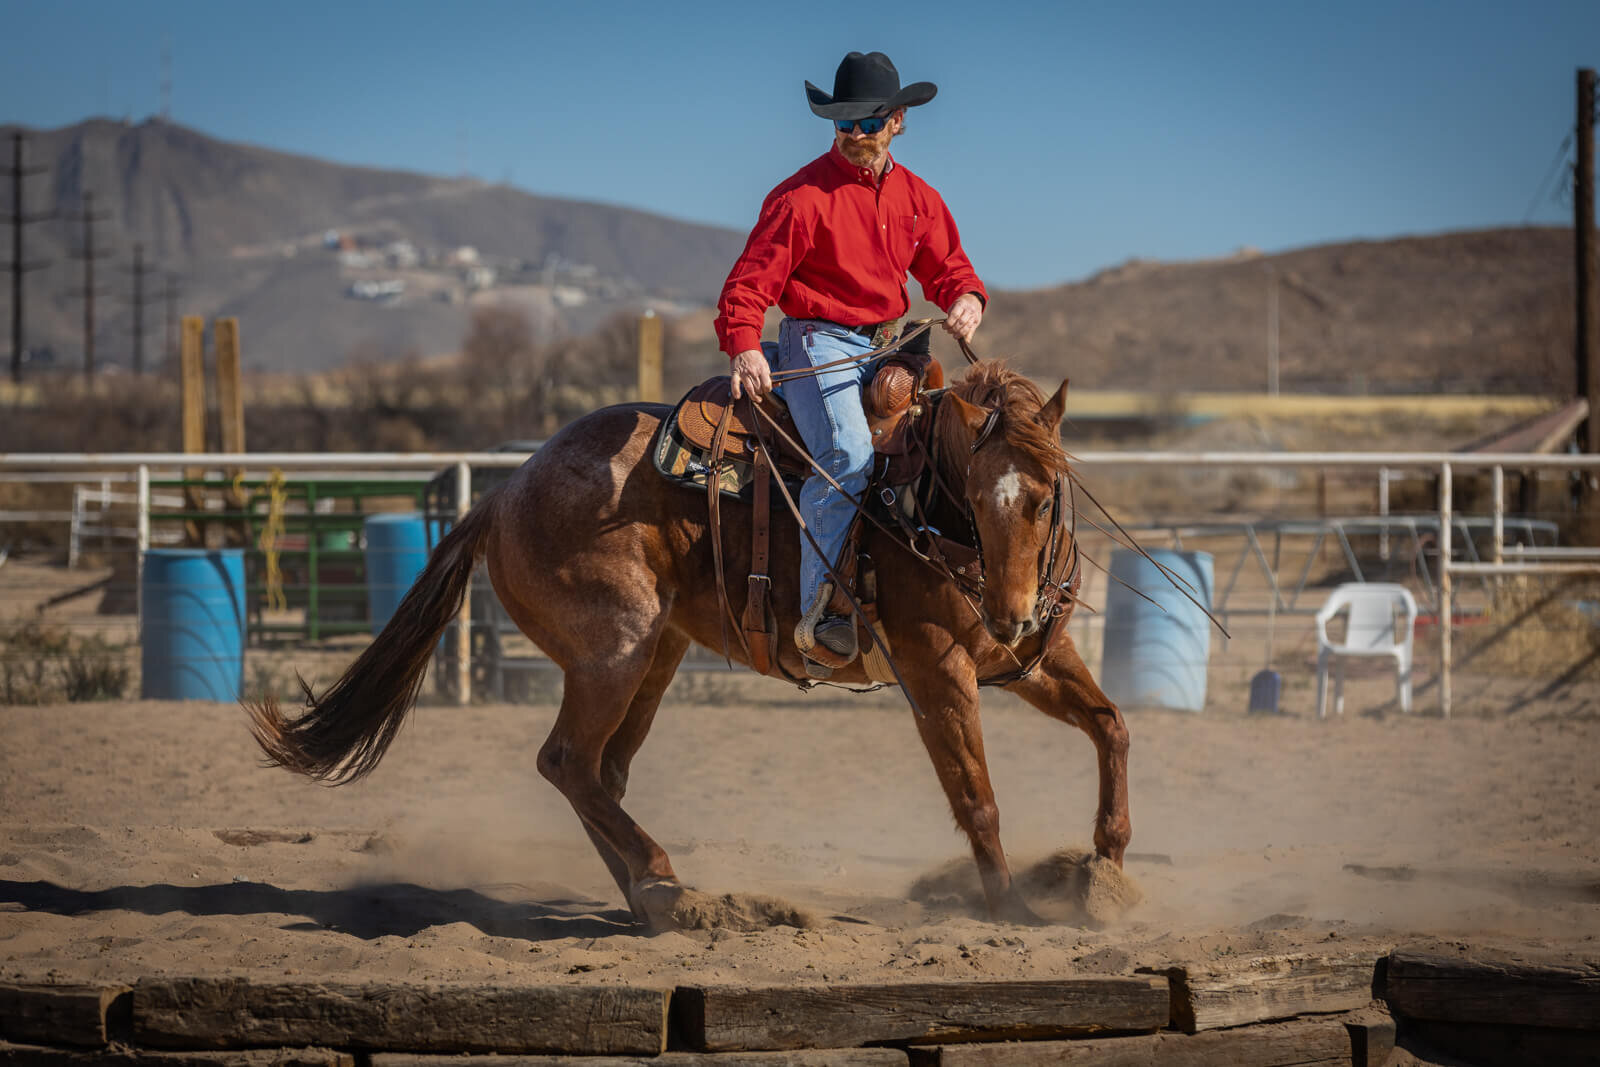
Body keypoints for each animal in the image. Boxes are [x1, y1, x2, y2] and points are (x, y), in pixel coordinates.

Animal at [243, 358, 1132, 927]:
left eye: (1045, 497)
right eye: (977, 495)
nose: (1011, 612)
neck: (920, 512)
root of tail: (501, 494)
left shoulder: (1027, 662)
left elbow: (1111, 723)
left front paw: (1109, 865)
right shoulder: (937, 669)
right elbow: (976, 796)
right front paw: (1012, 908)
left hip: (657, 656)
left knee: (601, 772)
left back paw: (653, 897)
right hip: (614, 650)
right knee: (568, 761)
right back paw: (668, 881)